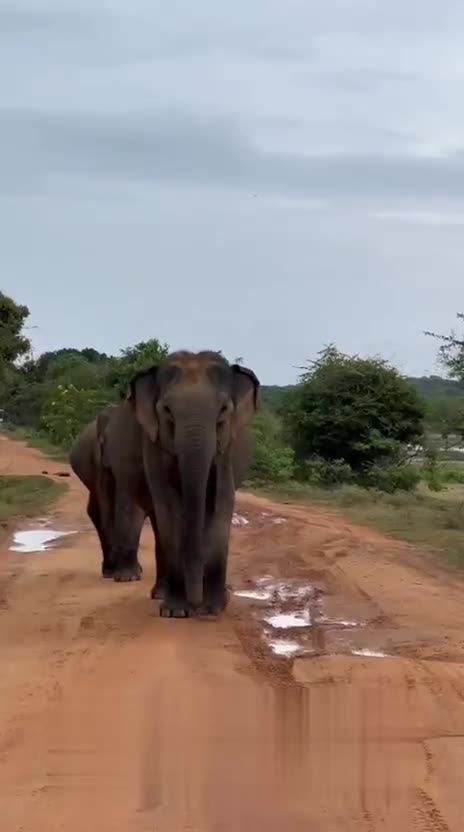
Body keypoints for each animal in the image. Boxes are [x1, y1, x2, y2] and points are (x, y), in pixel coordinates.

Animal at [69, 402, 166, 593]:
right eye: (105, 441)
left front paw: (127, 576)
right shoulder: (100, 461)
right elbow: (109, 508)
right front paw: (121, 574)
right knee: (96, 511)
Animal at [127, 349, 260, 618]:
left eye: (223, 409)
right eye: (167, 410)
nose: (196, 604)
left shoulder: (226, 449)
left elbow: (221, 503)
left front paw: (212, 609)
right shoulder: (153, 445)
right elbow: (167, 507)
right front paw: (176, 612)